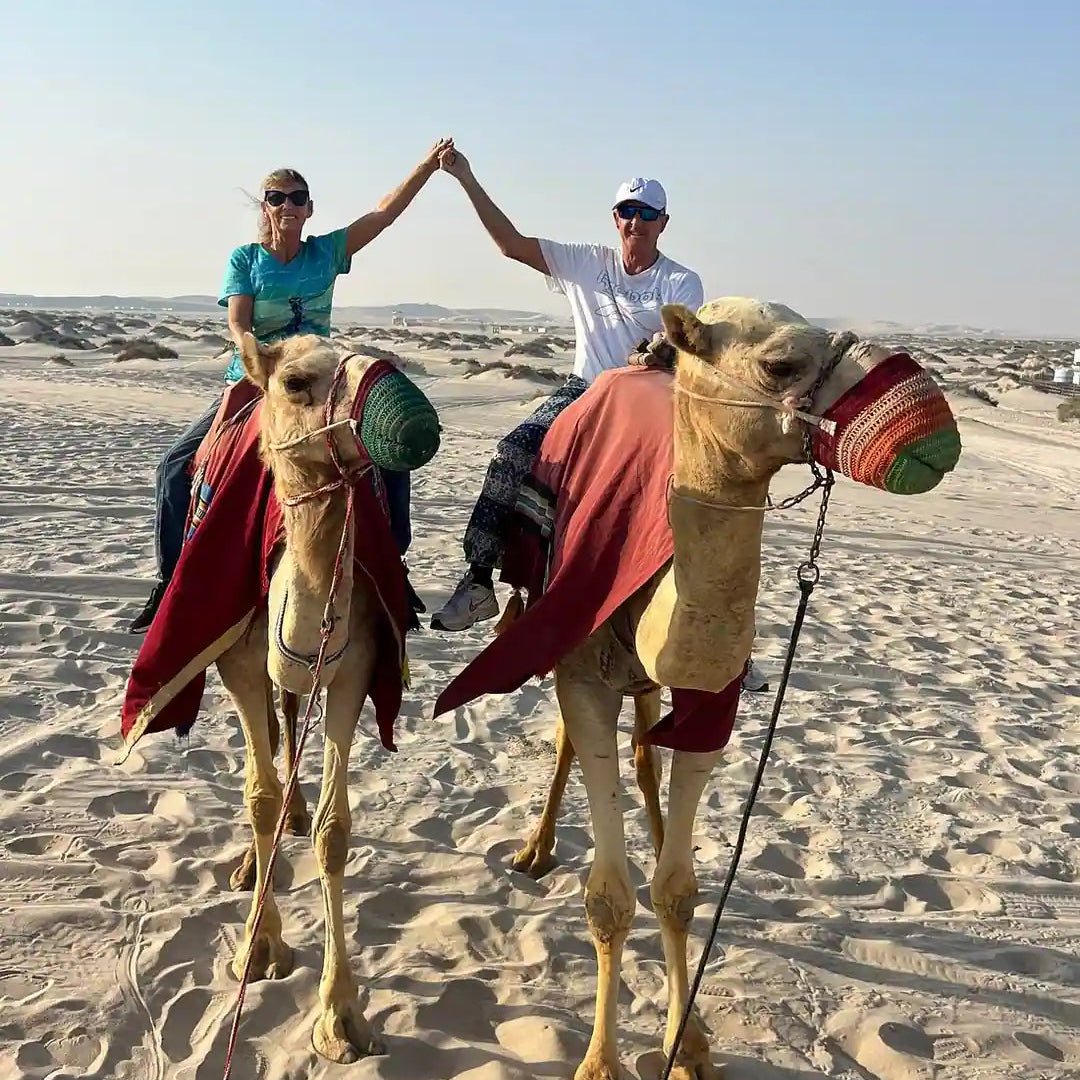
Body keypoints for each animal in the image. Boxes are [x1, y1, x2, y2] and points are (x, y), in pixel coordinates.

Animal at [214, 332, 435, 1064]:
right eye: (295, 382)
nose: (414, 418)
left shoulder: (353, 671)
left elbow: (335, 832)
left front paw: (340, 1015)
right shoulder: (238, 663)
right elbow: (257, 796)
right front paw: (258, 947)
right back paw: (251, 866)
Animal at [496, 298, 960, 1080]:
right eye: (779, 363)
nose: (933, 420)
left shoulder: (712, 700)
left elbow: (677, 893)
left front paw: (691, 1045)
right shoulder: (584, 674)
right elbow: (610, 898)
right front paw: (599, 1061)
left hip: (648, 687)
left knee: (646, 757)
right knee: (570, 741)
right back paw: (535, 851)